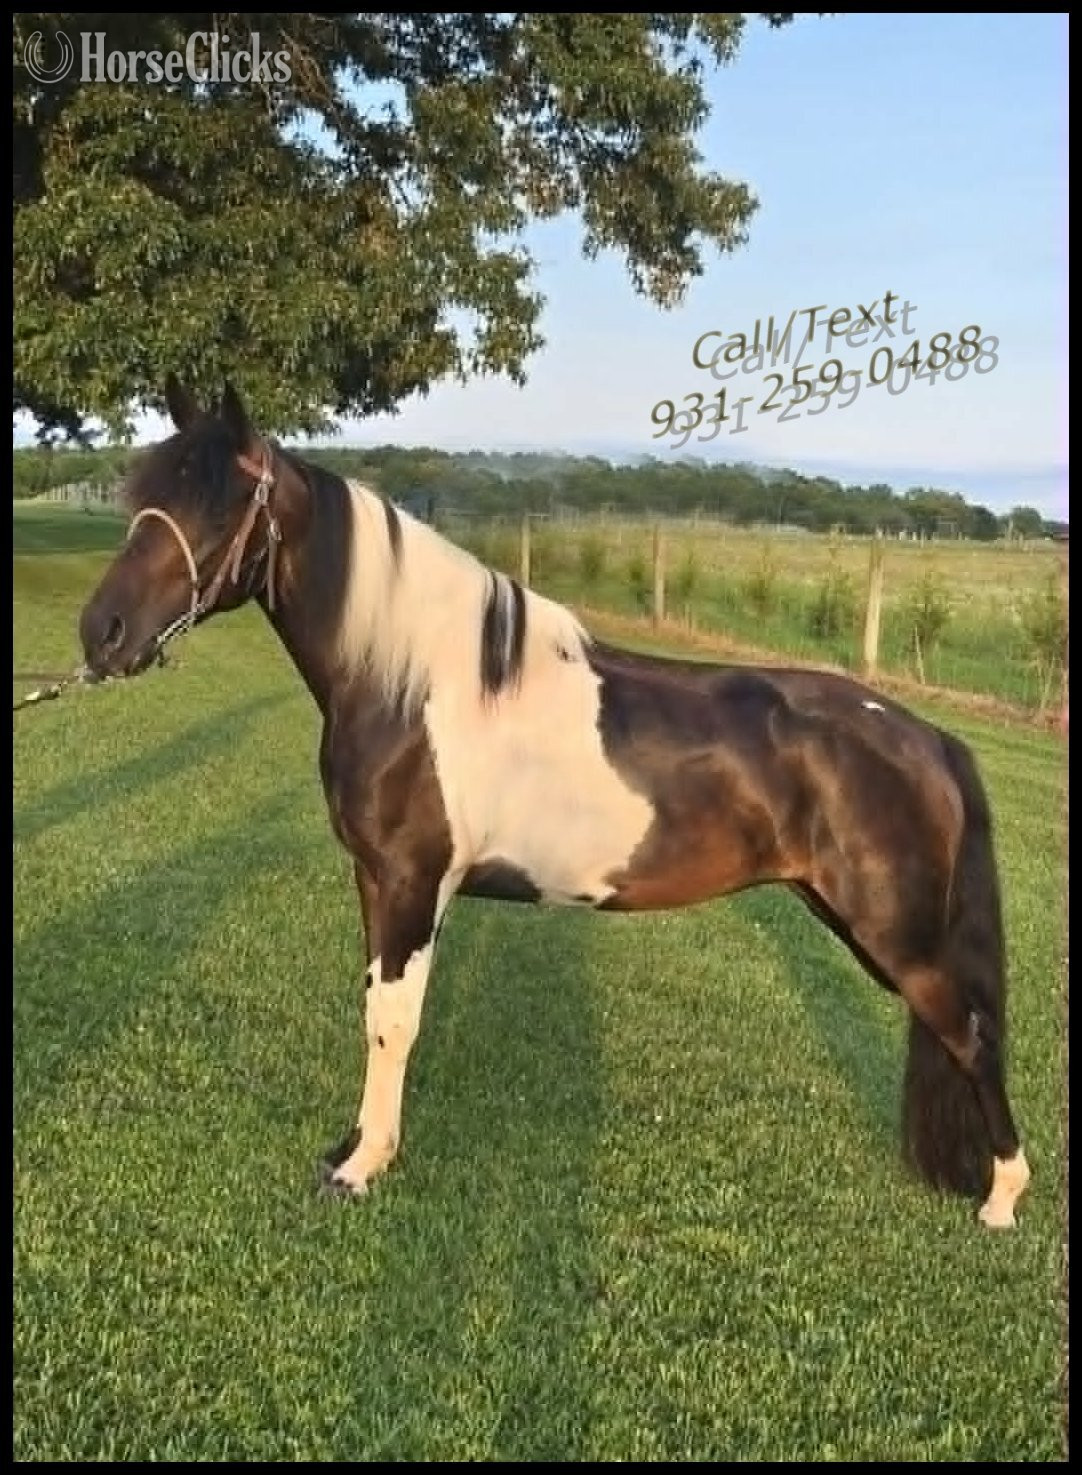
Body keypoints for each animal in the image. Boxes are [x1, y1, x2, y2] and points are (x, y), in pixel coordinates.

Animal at [76, 379, 1031, 1229]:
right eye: (144, 496)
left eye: (221, 505)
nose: (102, 633)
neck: (416, 683)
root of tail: (927, 737)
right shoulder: (375, 880)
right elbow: (374, 1010)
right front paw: (351, 1145)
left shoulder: (413, 882)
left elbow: (394, 1022)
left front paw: (362, 1167)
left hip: (898, 940)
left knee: (973, 1036)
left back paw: (1001, 1200)